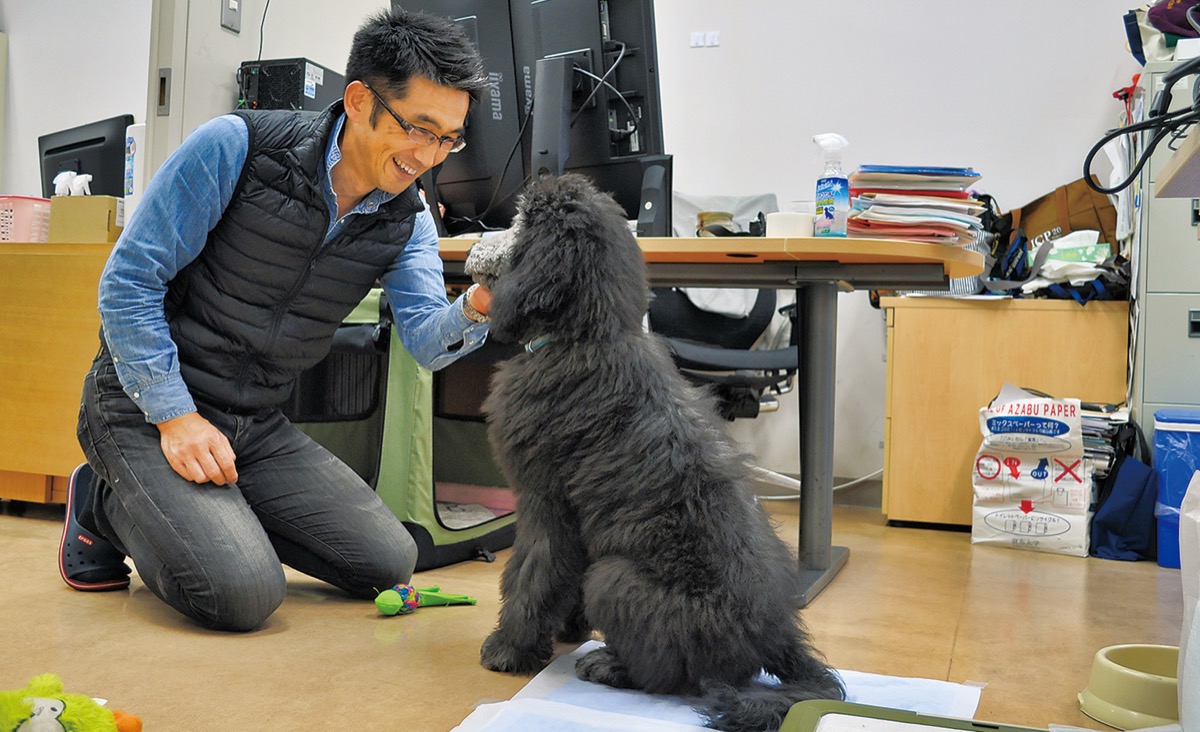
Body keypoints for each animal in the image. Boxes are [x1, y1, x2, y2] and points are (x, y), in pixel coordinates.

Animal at [477, 174, 844, 724]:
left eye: (521, 220)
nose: (476, 240)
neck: (586, 334)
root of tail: (775, 633)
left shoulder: (545, 505)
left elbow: (530, 576)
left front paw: (509, 649)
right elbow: (558, 578)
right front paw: (566, 631)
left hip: (614, 578)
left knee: (669, 676)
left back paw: (610, 666)